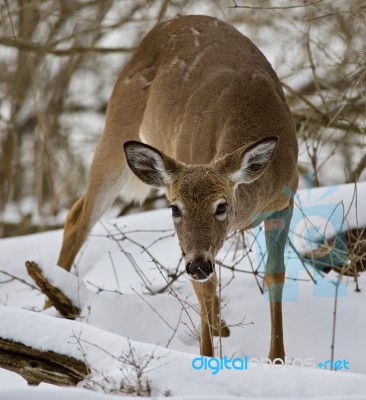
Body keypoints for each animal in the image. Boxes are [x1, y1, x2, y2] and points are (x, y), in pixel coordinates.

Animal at [56, 15, 298, 360]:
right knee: (79, 219)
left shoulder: (285, 200)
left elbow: (275, 275)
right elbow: (205, 289)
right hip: (117, 123)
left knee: (76, 211)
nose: (196, 265)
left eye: (221, 206)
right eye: (174, 208)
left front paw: (276, 359)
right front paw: (207, 359)